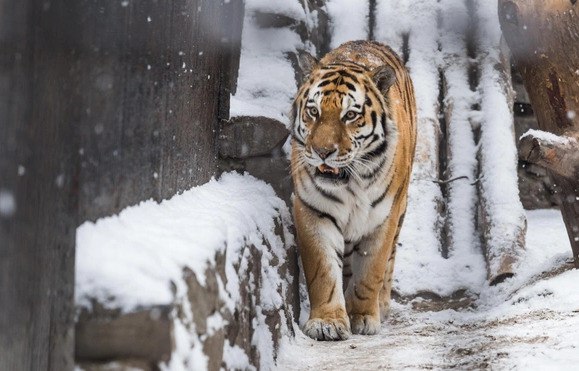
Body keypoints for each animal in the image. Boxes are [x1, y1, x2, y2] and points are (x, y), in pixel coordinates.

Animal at [290, 40, 416, 340]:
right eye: (314, 111)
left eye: (350, 116)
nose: (322, 152)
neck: (352, 184)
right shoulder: (313, 211)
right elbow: (323, 271)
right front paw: (327, 323)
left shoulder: (384, 218)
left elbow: (370, 271)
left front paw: (362, 316)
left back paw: (381, 305)